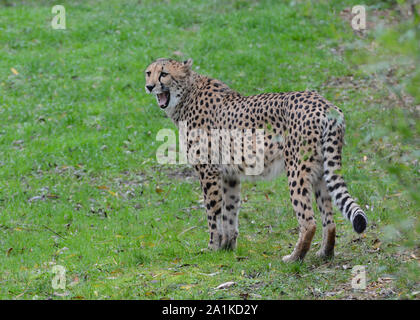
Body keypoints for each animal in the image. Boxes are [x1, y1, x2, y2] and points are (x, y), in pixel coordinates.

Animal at [145, 58, 368, 262]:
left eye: (164, 74)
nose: (149, 86)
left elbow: (213, 214)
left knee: (308, 221)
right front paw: (227, 247)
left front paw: (213, 248)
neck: (187, 94)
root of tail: (325, 104)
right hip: (322, 170)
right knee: (329, 219)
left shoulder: (208, 172)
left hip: (297, 169)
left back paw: (294, 258)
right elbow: (229, 211)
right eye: (148, 73)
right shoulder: (229, 175)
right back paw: (324, 253)